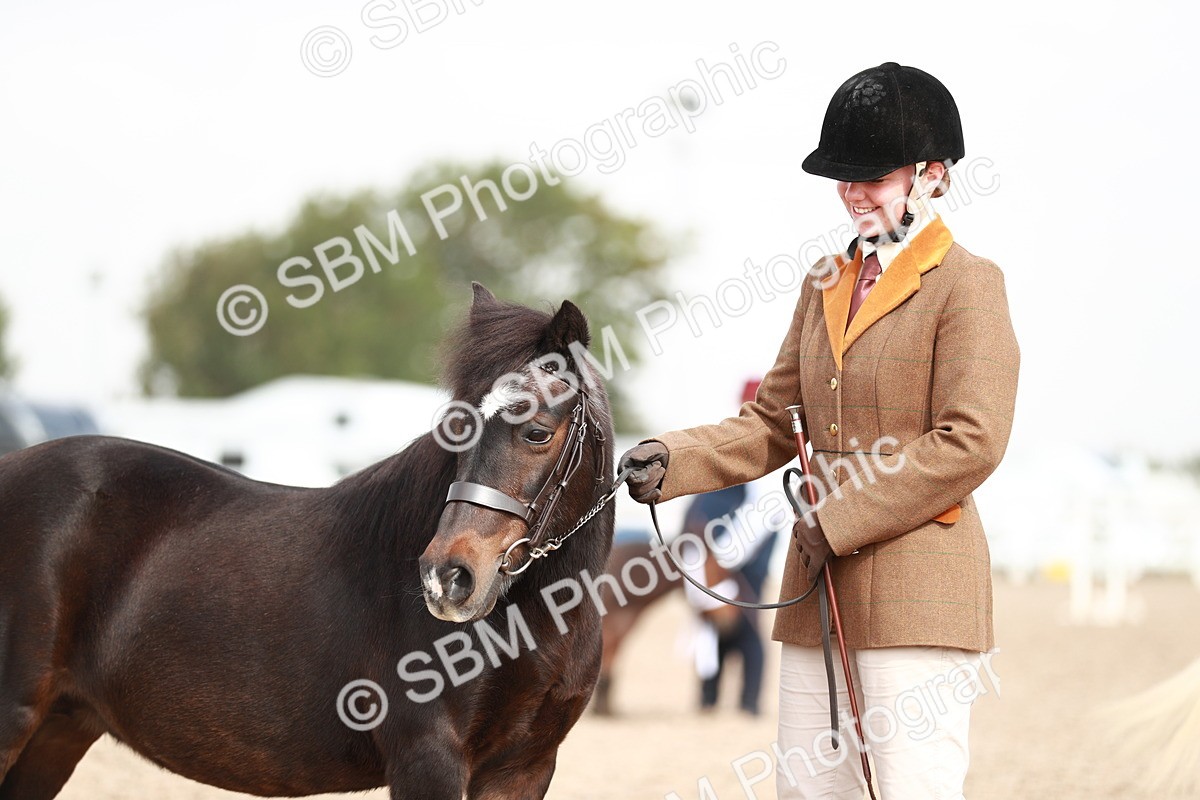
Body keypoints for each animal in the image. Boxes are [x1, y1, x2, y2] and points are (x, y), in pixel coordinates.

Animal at [0, 283, 615, 800]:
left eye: (537, 431)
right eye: (456, 428)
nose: (448, 577)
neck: (533, 623)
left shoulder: (524, 768)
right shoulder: (428, 760)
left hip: (58, 729)